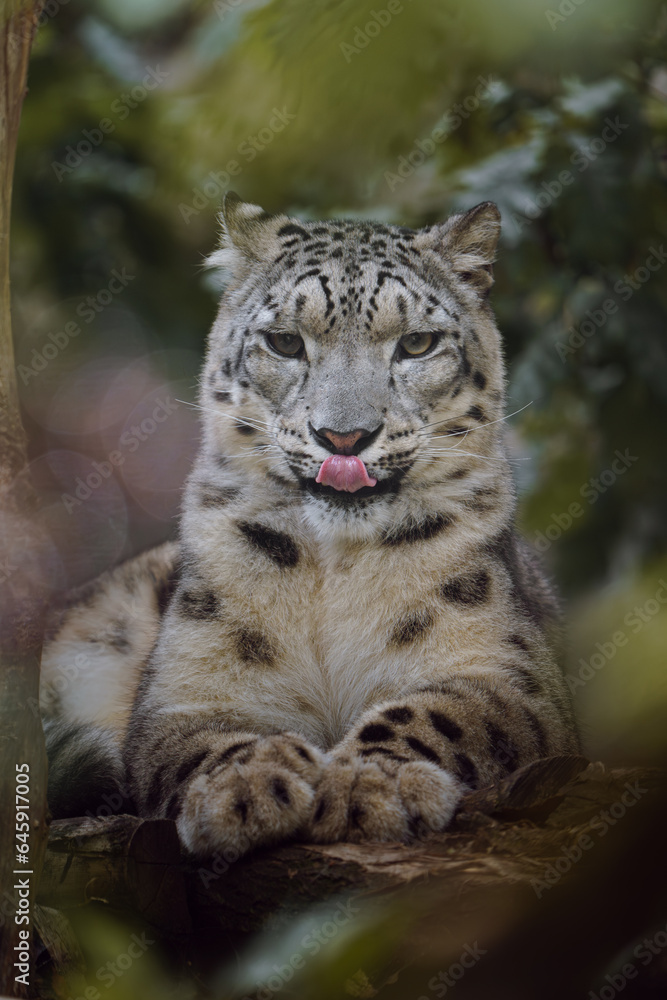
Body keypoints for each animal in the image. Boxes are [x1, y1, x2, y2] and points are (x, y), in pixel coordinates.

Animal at [40, 192, 579, 856]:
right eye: (284, 342)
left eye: (417, 343)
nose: (343, 437)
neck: (334, 568)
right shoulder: (186, 687)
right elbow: (200, 739)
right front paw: (246, 787)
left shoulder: (506, 672)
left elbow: (439, 713)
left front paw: (372, 784)